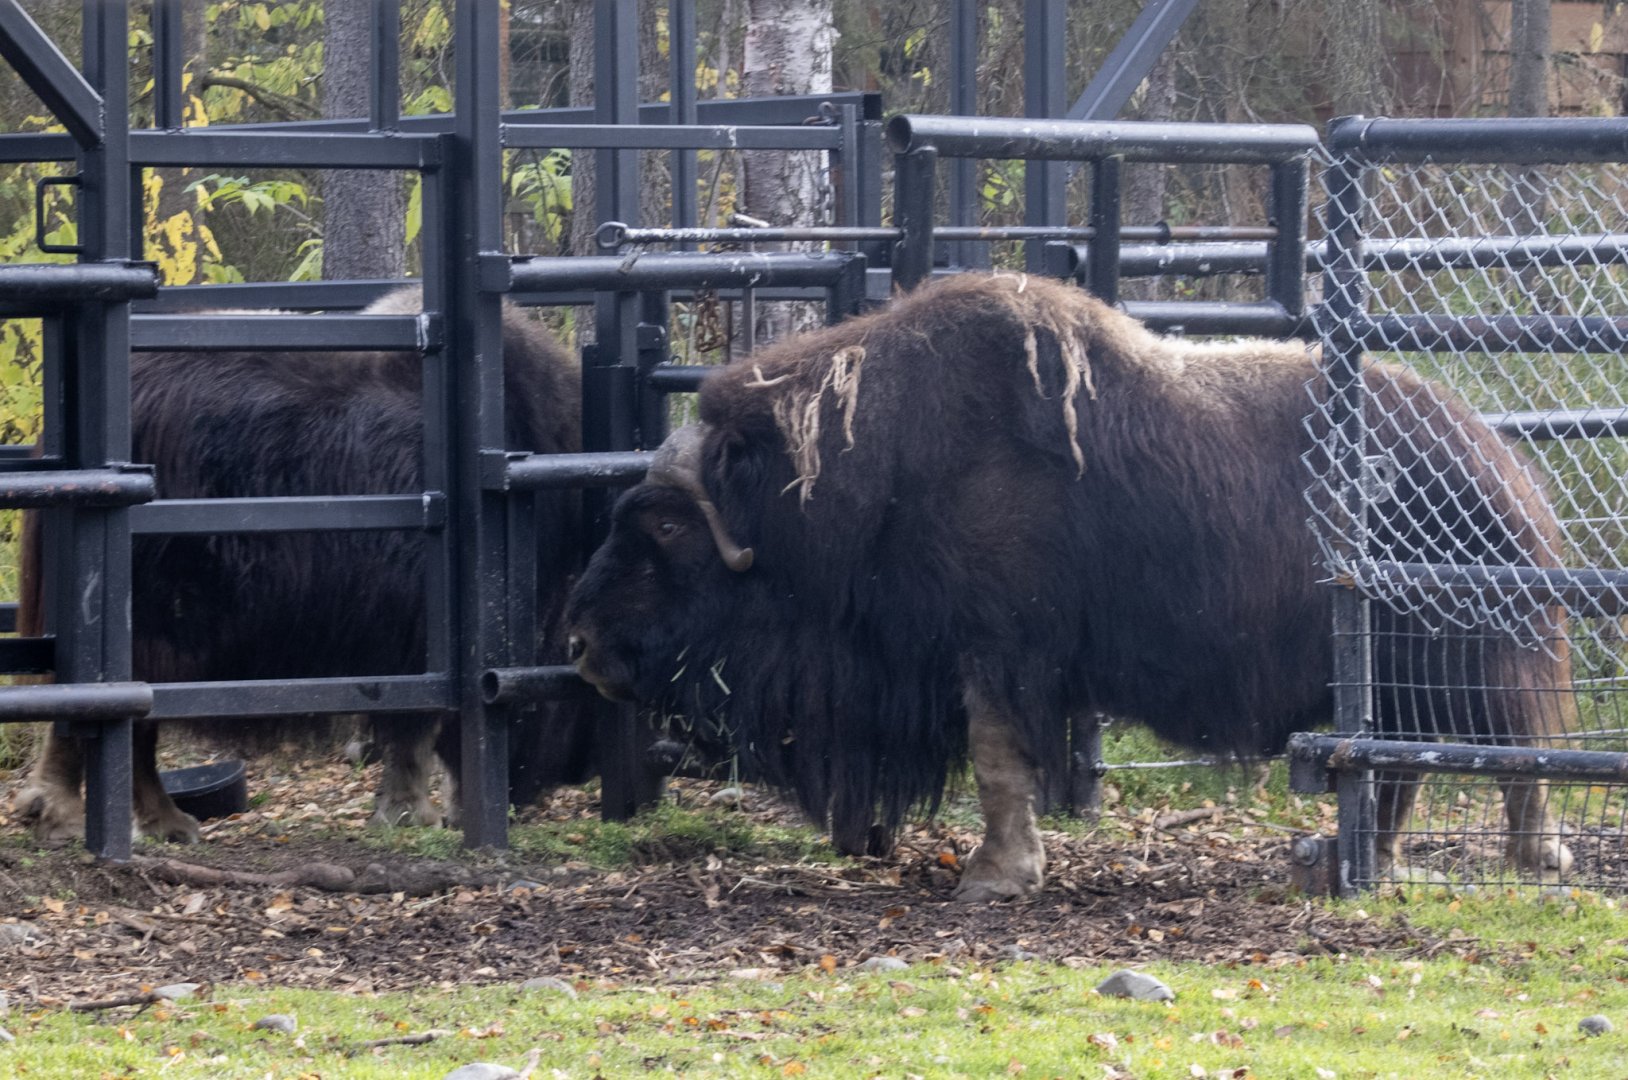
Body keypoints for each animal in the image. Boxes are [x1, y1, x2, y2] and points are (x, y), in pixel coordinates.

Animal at [15, 289, 593, 845]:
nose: (565, 778)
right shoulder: (417, 635)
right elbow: (417, 728)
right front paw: (413, 813)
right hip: (149, 627)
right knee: (119, 718)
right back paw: (127, 820)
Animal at [564, 272, 1577, 901]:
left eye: (662, 525)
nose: (578, 642)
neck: (854, 479)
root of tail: (1505, 464)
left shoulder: (997, 644)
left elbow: (998, 757)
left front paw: (995, 876)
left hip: (1466, 653)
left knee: (1510, 753)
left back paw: (1533, 857)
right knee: (1403, 766)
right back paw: (1358, 862)